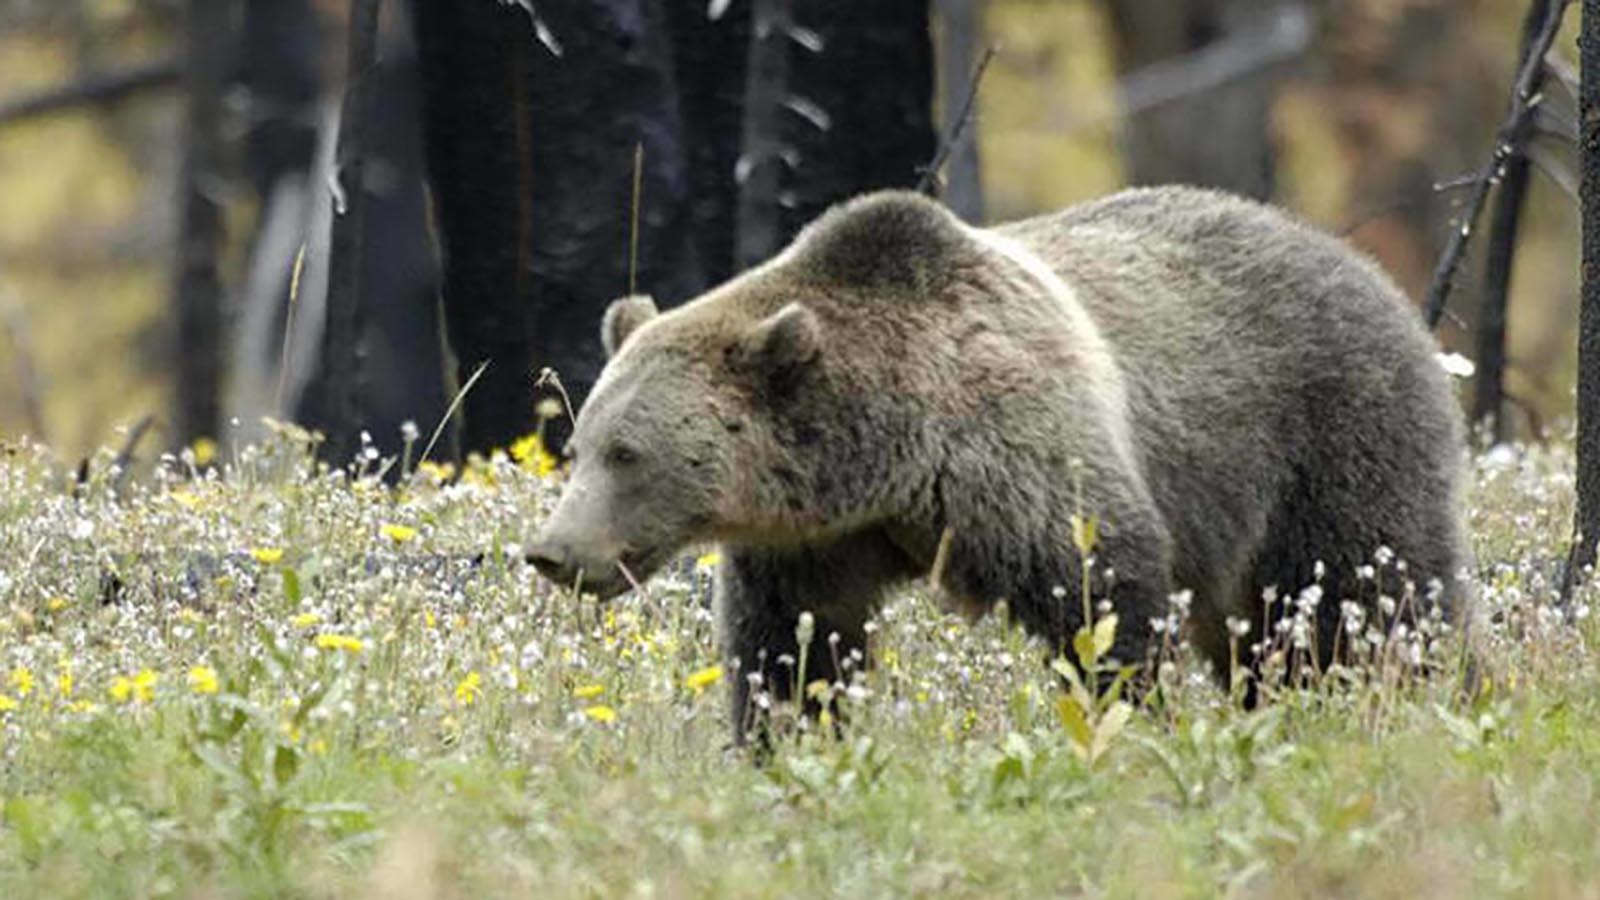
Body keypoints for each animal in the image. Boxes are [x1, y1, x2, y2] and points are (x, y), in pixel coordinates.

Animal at [527, 186, 1470, 740]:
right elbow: (796, 647)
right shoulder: (816, 540)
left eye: (627, 453)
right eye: (578, 446)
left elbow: (1103, 596)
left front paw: (1133, 721)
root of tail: (1367, 267)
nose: (551, 552)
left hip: (1329, 434)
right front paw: (790, 740)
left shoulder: (1017, 455)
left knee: (1368, 596)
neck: (890, 453)